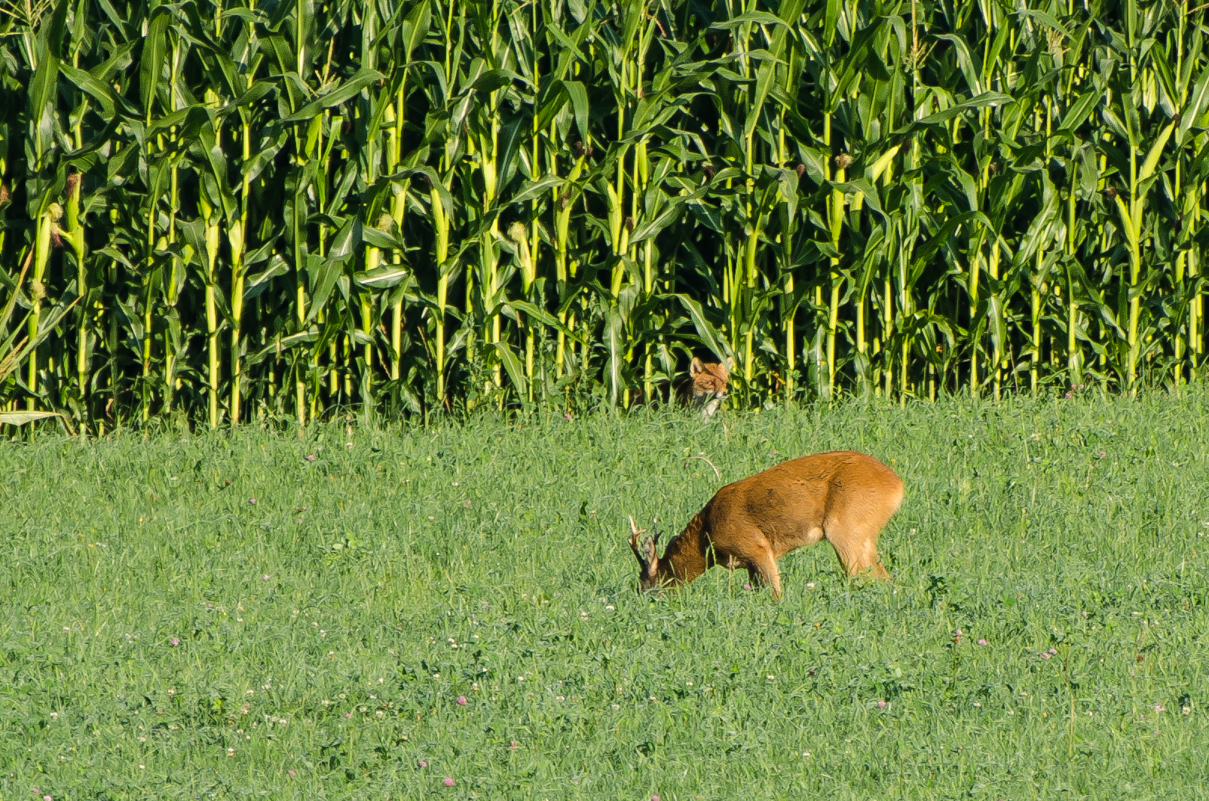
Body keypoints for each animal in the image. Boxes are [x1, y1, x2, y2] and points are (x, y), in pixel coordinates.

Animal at [628, 447, 904, 599]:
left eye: (645, 582)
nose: (640, 599)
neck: (706, 535)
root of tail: (897, 484)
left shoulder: (756, 546)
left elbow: (775, 593)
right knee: (883, 577)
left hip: (846, 527)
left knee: (867, 576)